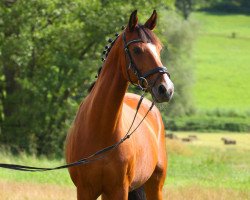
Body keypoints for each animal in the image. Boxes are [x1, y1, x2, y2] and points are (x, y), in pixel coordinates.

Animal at [66, 10, 174, 199]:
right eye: (137, 50)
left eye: (159, 49)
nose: (166, 89)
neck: (100, 130)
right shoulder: (85, 190)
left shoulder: (119, 189)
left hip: (155, 185)